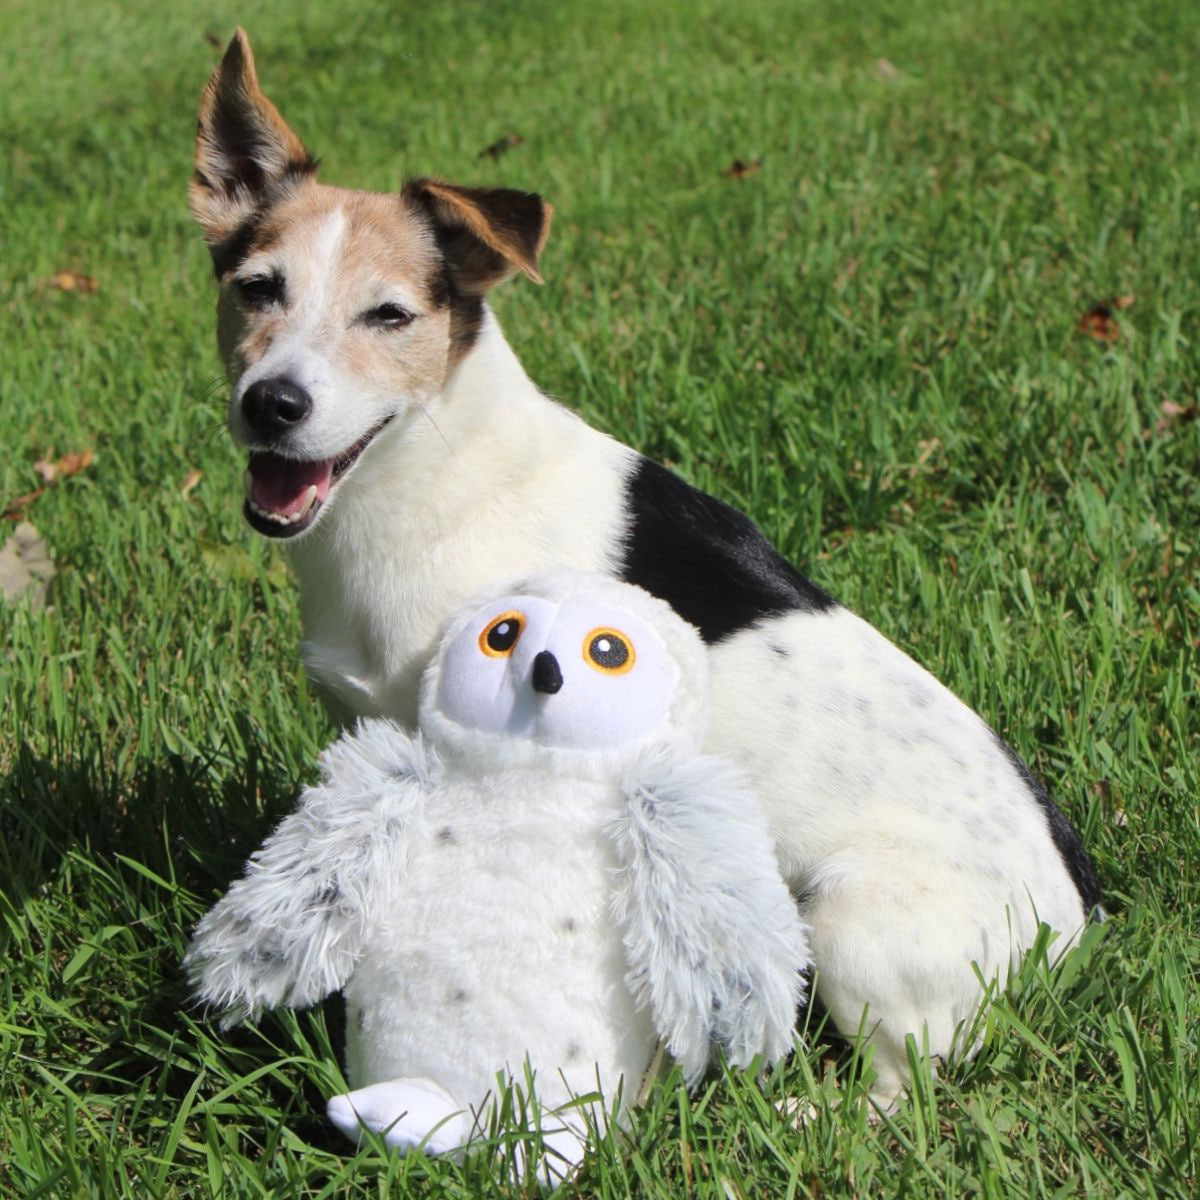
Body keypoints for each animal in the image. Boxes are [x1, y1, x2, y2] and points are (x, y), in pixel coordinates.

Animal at [192, 30, 1099, 1113]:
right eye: (256, 288)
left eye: (389, 315)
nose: (271, 403)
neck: (424, 471)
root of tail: (1075, 921)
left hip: (855, 918)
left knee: (903, 1082)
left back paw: (801, 1109)